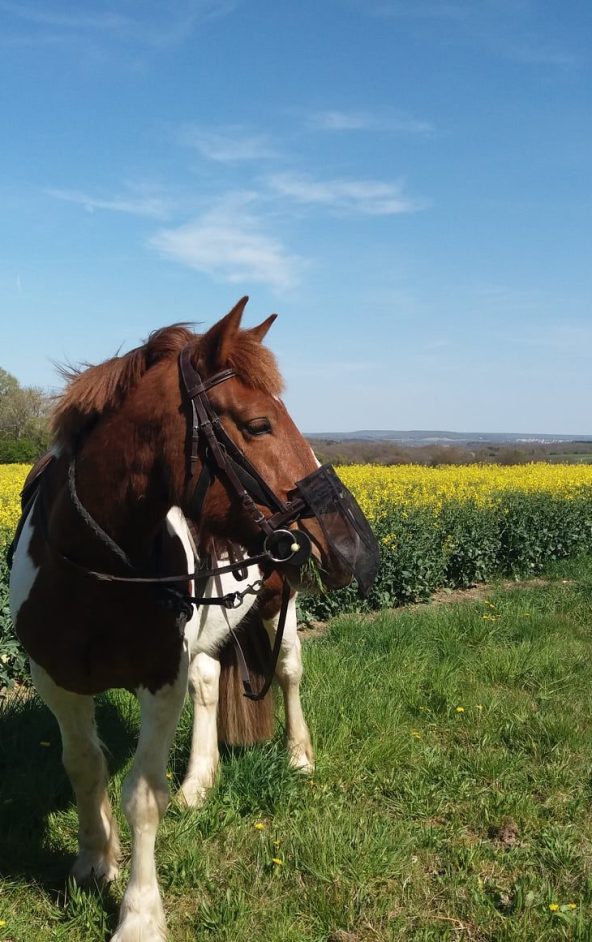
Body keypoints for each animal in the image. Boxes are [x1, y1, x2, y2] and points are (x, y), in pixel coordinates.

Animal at [8, 300, 380, 942]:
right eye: (258, 425)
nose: (353, 547)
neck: (92, 571)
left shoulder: (160, 679)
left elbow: (142, 794)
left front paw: (139, 915)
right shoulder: (55, 681)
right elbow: (85, 766)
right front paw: (95, 857)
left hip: (281, 603)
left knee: (288, 672)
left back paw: (298, 756)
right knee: (208, 682)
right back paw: (198, 782)